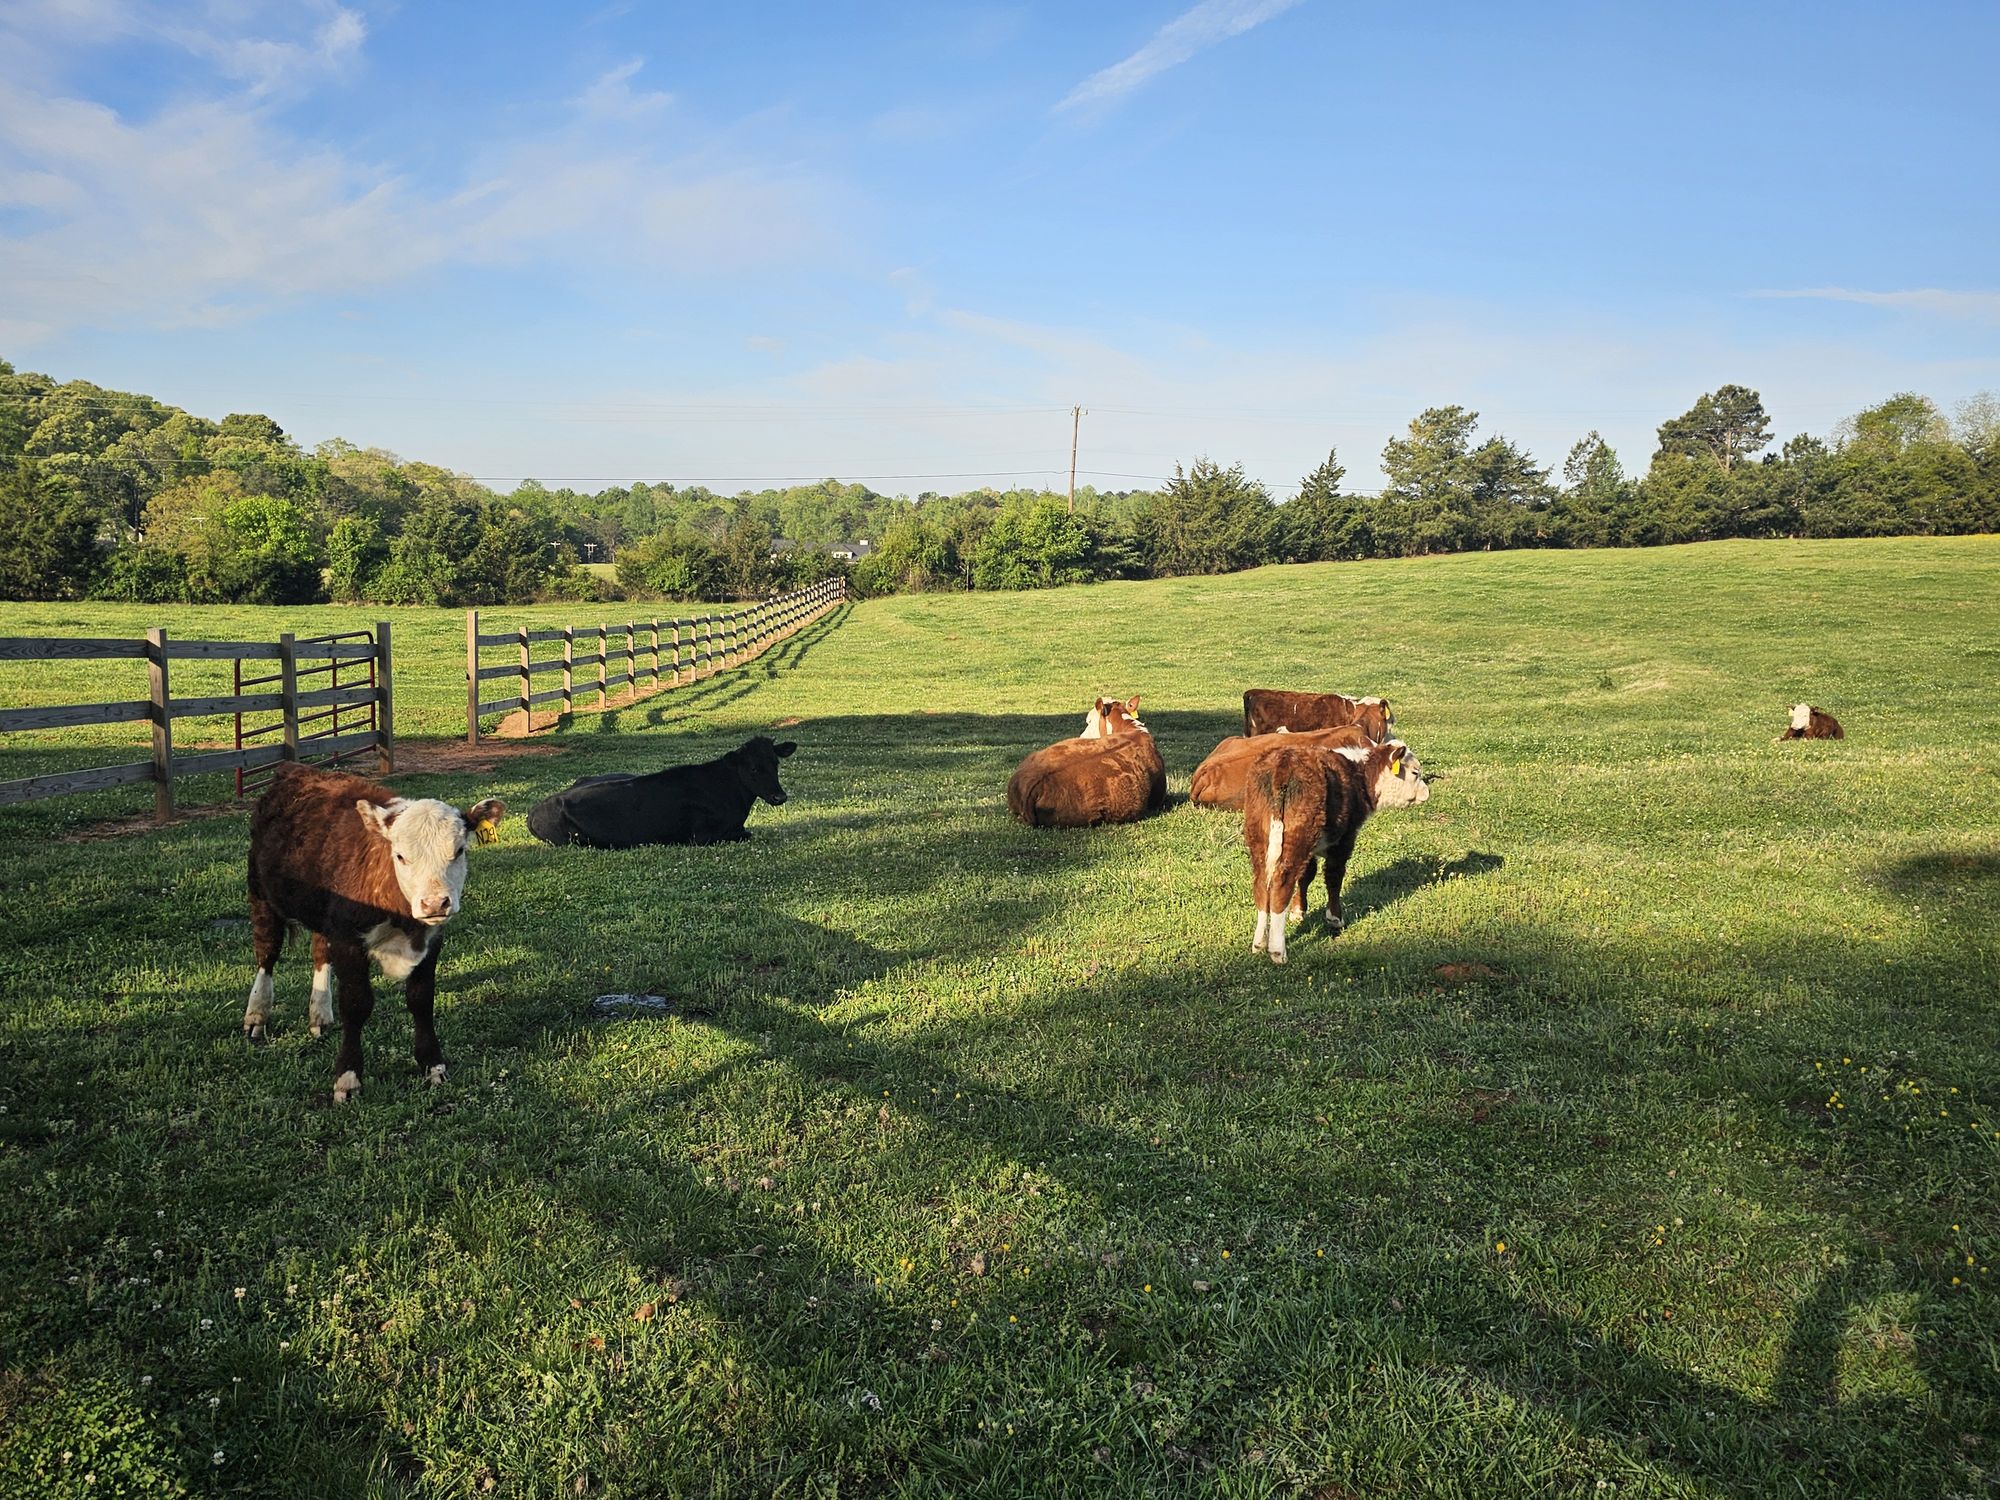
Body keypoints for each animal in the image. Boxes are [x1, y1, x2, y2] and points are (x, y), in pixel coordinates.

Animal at [244, 763, 507, 1103]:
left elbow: (421, 1000)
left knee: (319, 951)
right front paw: (348, 1078)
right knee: (267, 953)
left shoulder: (432, 940)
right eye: (401, 856)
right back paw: (256, 1017)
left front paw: (433, 1065)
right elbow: (356, 1005)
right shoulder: (348, 939)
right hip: (261, 894)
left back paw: (319, 1014)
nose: (435, 902)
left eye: (459, 851)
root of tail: (294, 770)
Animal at [526, 735, 798, 848]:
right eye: (753, 768)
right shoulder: (702, 836)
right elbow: (746, 834)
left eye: (776, 763)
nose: (780, 796)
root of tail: (535, 810)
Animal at [1243, 739, 1429, 963]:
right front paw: (1334, 918)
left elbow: (1306, 876)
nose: (1427, 793)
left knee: (1262, 883)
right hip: (1297, 837)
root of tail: (1283, 762)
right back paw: (1278, 950)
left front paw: (1298, 911)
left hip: (1259, 836)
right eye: (1415, 772)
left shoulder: (1313, 850)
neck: (1359, 774)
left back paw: (1258, 943)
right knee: (1282, 883)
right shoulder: (1344, 840)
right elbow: (1334, 876)